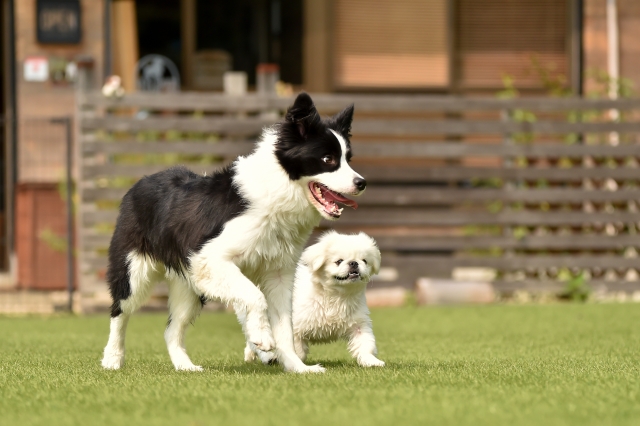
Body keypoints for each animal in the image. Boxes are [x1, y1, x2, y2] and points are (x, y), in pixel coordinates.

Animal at [103, 92, 368, 372]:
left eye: (348, 159)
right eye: (328, 160)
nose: (362, 183)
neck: (278, 191)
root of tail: (140, 182)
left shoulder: (278, 273)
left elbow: (285, 325)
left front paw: (297, 367)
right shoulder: (210, 259)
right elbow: (255, 296)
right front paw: (262, 338)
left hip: (189, 287)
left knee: (172, 329)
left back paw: (186, 366)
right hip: (133, 272)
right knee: (120, 311)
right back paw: (112, 359)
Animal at [242, 231, 384, 368]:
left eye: (364, 261)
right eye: (339, 261)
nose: (354, 262)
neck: (336, 296)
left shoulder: (359, 325)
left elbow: (365, 344)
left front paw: (372, 362)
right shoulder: (296, 330)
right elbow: (297, 350)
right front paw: (296, 364)